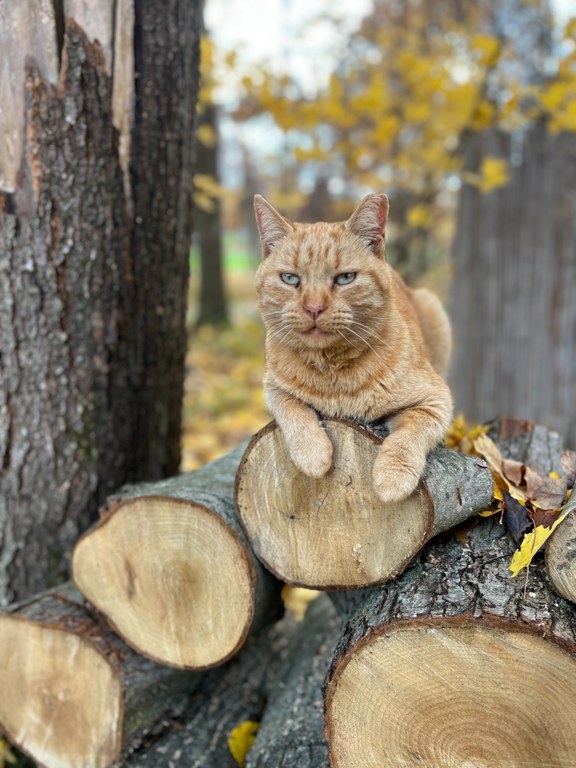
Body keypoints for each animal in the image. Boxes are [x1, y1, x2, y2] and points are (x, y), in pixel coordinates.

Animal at [254, 192, 452, 504]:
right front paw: (313, 455)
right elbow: (293, 409)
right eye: (290, 278)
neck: (332, 368)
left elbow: (408, 433)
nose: (314, 307)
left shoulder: (436, 400)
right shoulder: (273, 387)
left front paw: (392, 477)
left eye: (345, 278)